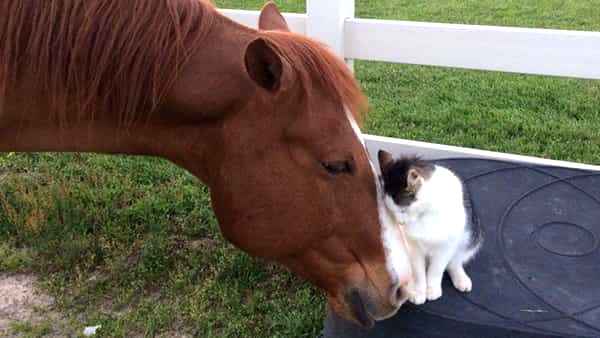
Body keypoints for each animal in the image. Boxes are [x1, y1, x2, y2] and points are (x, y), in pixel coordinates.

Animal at [380, 150, 482, 304]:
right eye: (391, 211)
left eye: (403, 210)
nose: (401, 223)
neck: (425, 214)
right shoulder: (414, 248)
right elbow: (418, 271)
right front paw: (419, 291)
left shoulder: (446, 246)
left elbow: (436, 269)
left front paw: (432, 289)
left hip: (469, 239)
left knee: (454, 262)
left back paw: (461, 278)